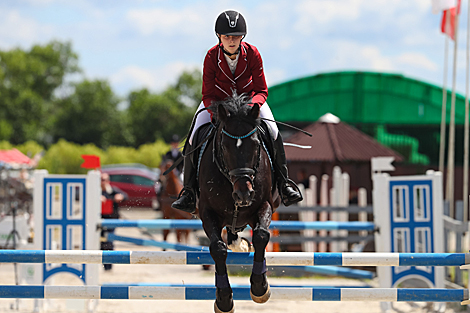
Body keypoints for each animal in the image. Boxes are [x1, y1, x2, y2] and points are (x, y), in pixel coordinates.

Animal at [197, 94, 280, 312]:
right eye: (224, 146)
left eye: (256, 145)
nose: (244, 194)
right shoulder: (207, 213)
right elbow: (218, 249)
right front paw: (224, 300)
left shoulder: (265, 205)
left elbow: (261, 236)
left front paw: (259, 288)